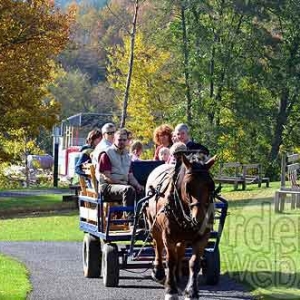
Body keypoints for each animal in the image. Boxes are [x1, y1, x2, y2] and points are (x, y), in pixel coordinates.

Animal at [145, 154, 216, 298]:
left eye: (210, 186)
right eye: (187, 186)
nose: (200, 219)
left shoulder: (203, 237)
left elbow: (194, 263)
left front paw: (192, 291)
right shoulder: (168, 237)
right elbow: (170, 261)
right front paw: (171, 290)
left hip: (182, 237)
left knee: (180, 250)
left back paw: (177, 275)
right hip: (154, 227)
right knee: (158, 246)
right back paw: (159, 273)